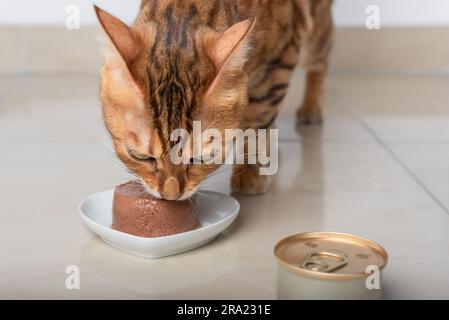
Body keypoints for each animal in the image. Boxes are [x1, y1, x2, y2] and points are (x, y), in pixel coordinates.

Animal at [95, 0, 332, 200]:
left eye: (203, 157)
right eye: (139, 156)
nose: (171, 196)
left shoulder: (277, 63)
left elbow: (259, 118)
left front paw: (250, 171)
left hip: (314, 34)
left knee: (322, 53)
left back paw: (311, 108)